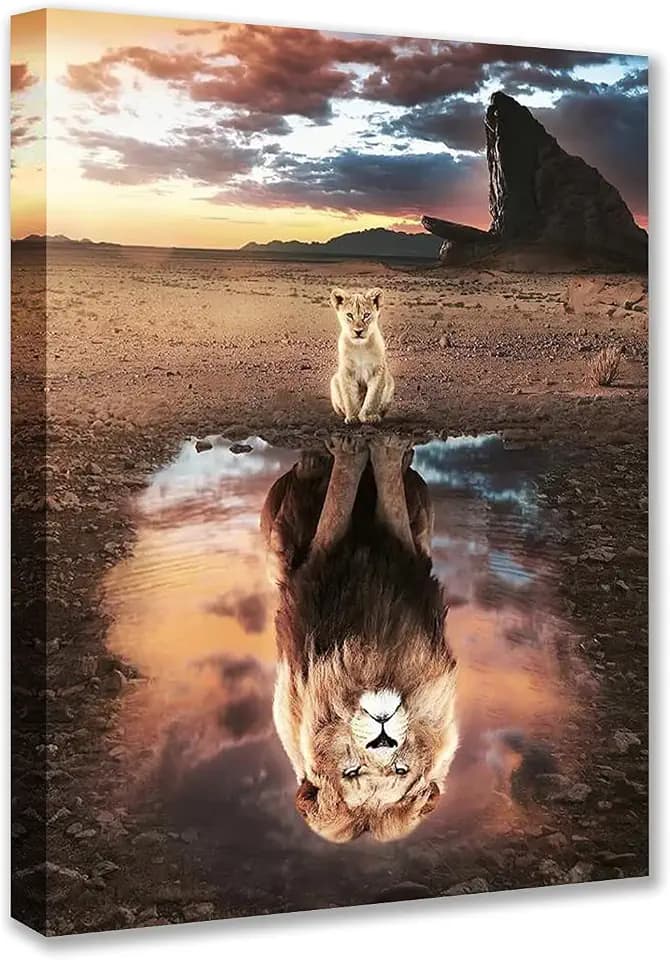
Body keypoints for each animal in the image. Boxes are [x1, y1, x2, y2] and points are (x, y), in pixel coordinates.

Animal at [260, 434, 458, 843]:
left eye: (400, 770)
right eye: (350, 771)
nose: (383, 737)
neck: (371, 662)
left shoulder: (408, 550)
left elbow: (387, 501)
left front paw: (382, 449)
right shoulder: (319, 558)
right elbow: (339, 500)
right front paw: (353, 448)